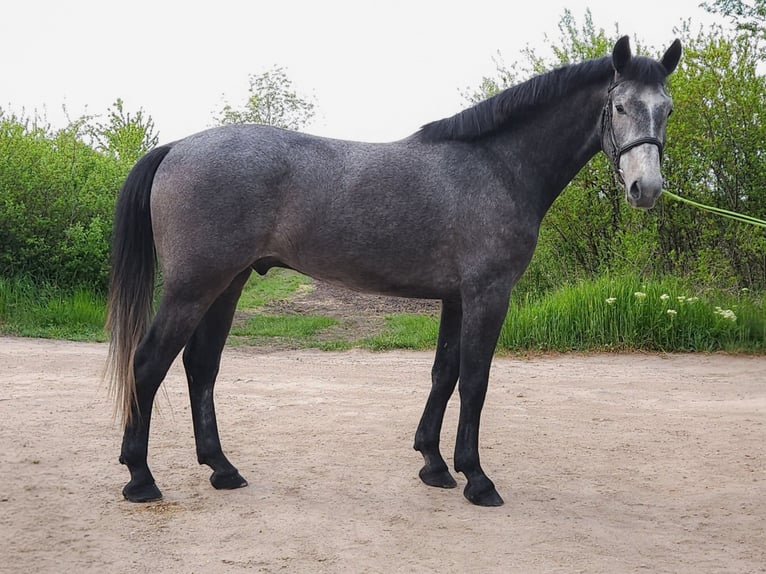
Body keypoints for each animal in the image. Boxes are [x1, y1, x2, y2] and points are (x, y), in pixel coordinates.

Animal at [105, 35, 682, 507]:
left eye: (668, 109)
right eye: (620, 105)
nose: (646, 188)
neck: (497, 167)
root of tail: (176, 147)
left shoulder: (457, 298)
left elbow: (444, 373)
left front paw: (434, 465)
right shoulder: (488, 293)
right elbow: (475, 380)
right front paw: (477, 479)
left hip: (228, 283)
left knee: (201, 367)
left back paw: (222, 469)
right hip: (193, 286)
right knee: (149, 363)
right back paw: (140, 477)